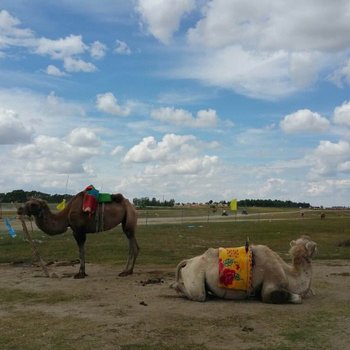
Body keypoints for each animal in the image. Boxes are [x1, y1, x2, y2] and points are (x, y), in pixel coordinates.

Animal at [172, 237, 318, 304]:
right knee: (199, 295)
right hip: (195, 278)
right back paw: (174, 286)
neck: (289, 275)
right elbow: (296, 297)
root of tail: (188, 261)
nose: (317, 247)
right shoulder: (271, 283)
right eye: (314, 247)